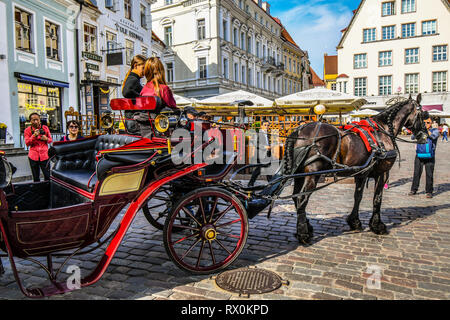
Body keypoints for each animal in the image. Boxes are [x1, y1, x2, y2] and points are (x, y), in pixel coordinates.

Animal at [284, 94, 428, 244]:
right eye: (423, 114)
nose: (425, 136)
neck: (382, 131)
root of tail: (299, 130)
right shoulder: (382, 172)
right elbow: (377, 198)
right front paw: (377, 225)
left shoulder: (361, 173)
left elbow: (358, 196)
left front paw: (354, 221)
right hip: (313, 173)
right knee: (302, 198)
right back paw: (303, 234)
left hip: (299, 173)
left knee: (296, 197)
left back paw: (307, 226)